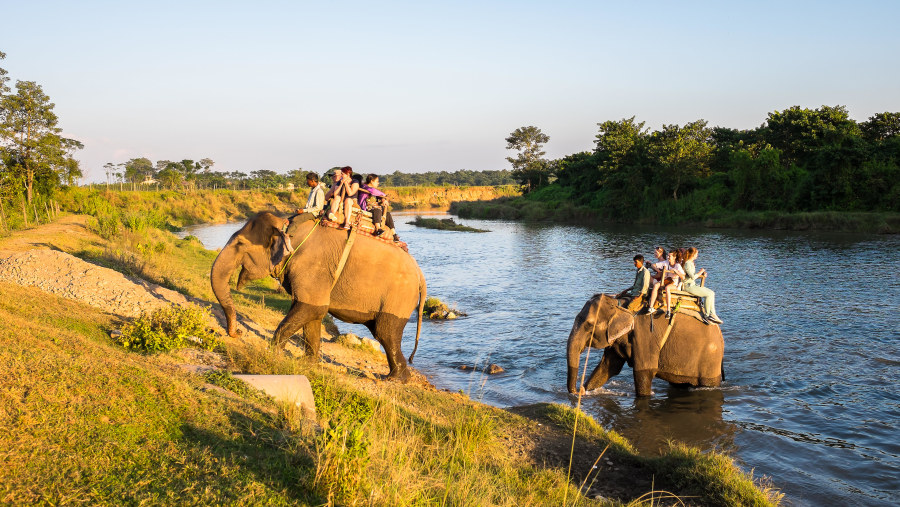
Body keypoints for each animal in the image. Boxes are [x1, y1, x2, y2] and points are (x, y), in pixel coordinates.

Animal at [209, 210, 428, 380]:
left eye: (239, 244)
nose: (237, 332)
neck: (287, 227)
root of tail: (421, 275)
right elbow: (314, 312)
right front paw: (307, 363)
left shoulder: (313, 267)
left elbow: (310, 308)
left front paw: (272, 354)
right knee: (385, 333)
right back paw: (399, 378)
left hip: (398, 298)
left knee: (385, 332)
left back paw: (394, 379)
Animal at [564, 296, 724, 398]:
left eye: (589, 325)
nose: (579, 391)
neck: (620, 304)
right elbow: (607, 367)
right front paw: (588, 391)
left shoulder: (646, 334)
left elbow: (644, 371)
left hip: (710, 357)